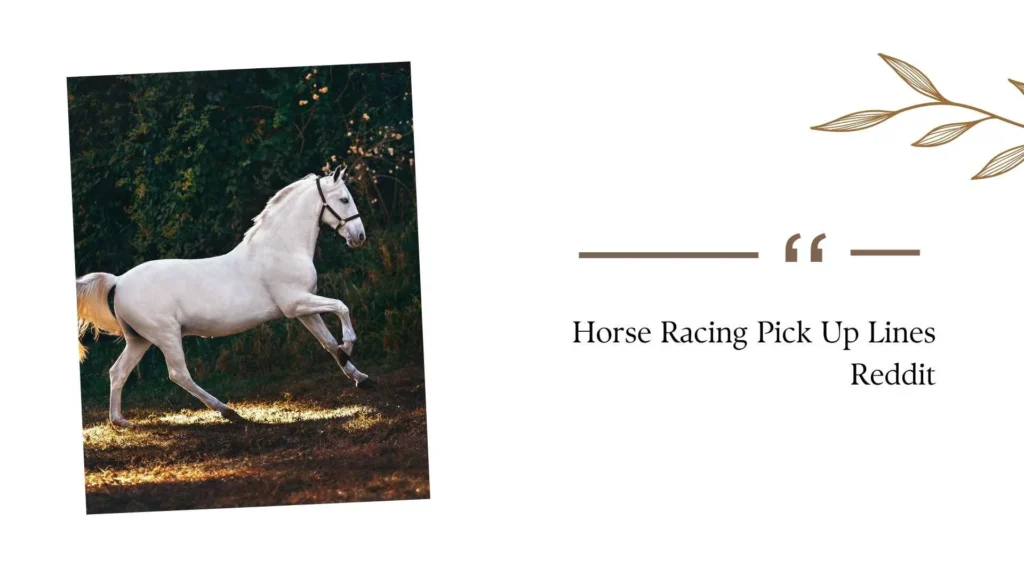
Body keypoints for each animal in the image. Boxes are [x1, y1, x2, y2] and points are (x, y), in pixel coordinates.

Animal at [76, 166, 370, 427]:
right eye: (344, 199)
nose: (359, 236)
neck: (281, 248)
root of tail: (119, 281)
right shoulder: (296, 302)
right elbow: (341, 307)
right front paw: (349, 346)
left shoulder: (303, 310)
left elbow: (328, 343)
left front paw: (359, 375)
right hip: (165, 335)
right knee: (178, 374)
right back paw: (228, 411)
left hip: (139, 340)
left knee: (118, 372)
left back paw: (120, 421)